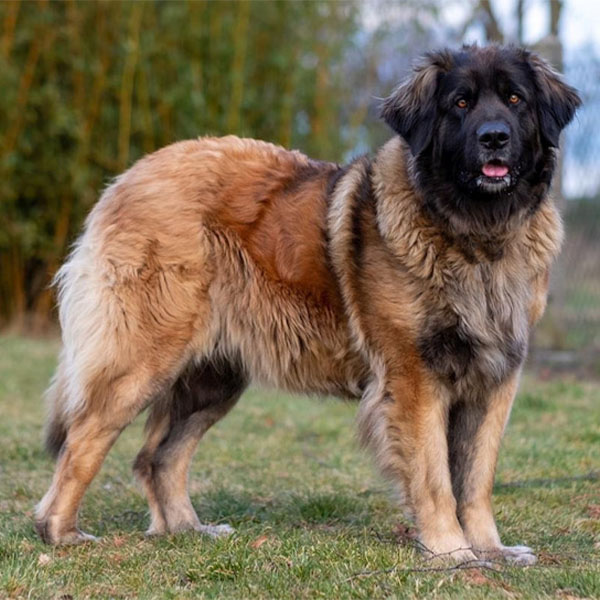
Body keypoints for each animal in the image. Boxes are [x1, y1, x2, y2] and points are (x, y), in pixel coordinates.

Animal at [36, 45, 580, 564]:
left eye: (516, 100)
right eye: (460, 104)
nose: (494, 137)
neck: (476, 236)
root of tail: (128, 178)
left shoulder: (495, 379)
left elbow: (476, 479)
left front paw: (491, 551)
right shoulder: (414, 378)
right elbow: (434, 477)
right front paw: (452, 552)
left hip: (213, 377)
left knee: (158, 456)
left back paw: (188, 530)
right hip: (143, 358)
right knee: (84, 438)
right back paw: (61, 533)